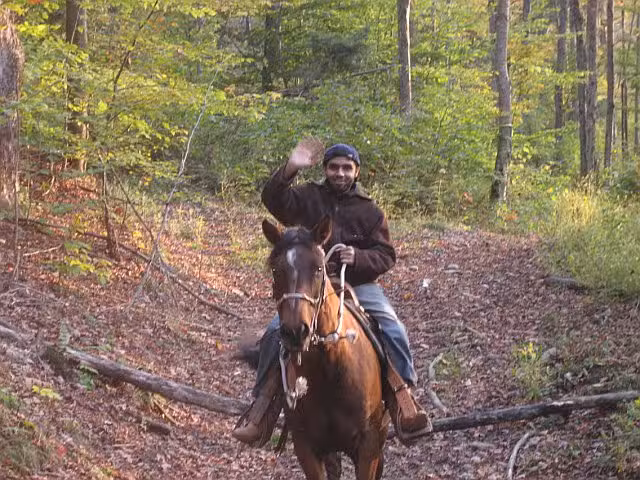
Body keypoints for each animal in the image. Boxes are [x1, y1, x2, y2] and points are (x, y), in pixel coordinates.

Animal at [262, 215, 388, 480]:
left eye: (318, 268)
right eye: (276, 270)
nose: (295, 332)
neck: (330, 368)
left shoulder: (368, 447)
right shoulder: (306, 447)